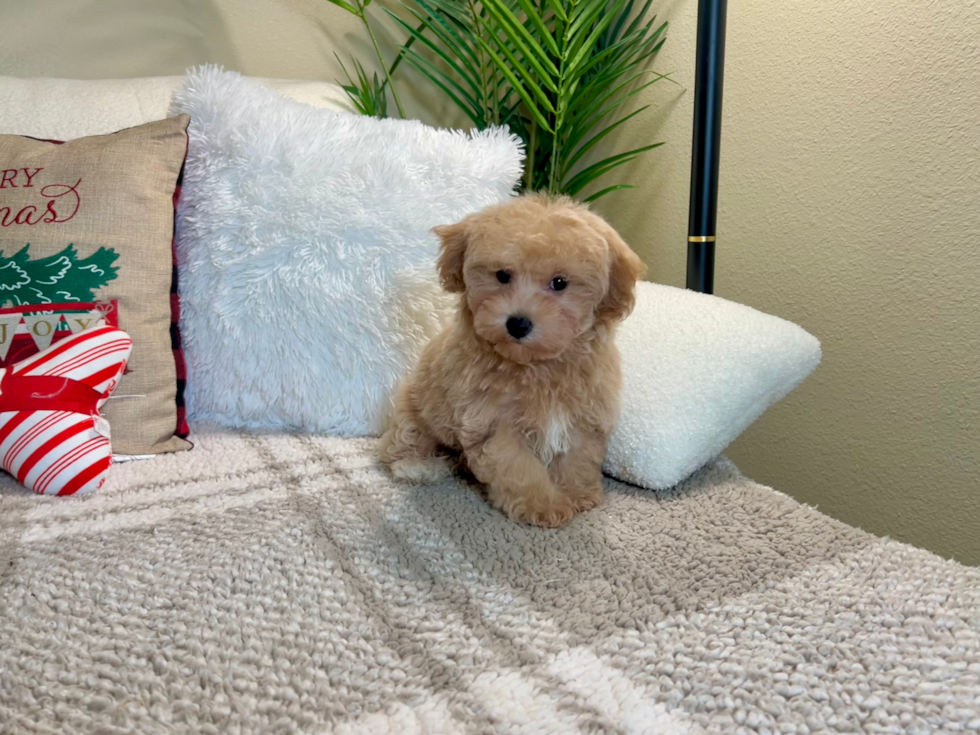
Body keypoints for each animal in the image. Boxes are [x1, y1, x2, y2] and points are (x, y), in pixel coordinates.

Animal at [378, 196, 648, 528]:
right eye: (502, 275)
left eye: (560, 283)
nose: (518, 324)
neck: (538, 366)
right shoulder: (494, 424)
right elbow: (519, 469)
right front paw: (543, 506)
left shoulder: (583, 415)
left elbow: (577, 457)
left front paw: (576, 495)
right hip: (413, 410)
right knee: (399, 446)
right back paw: (420, 466)